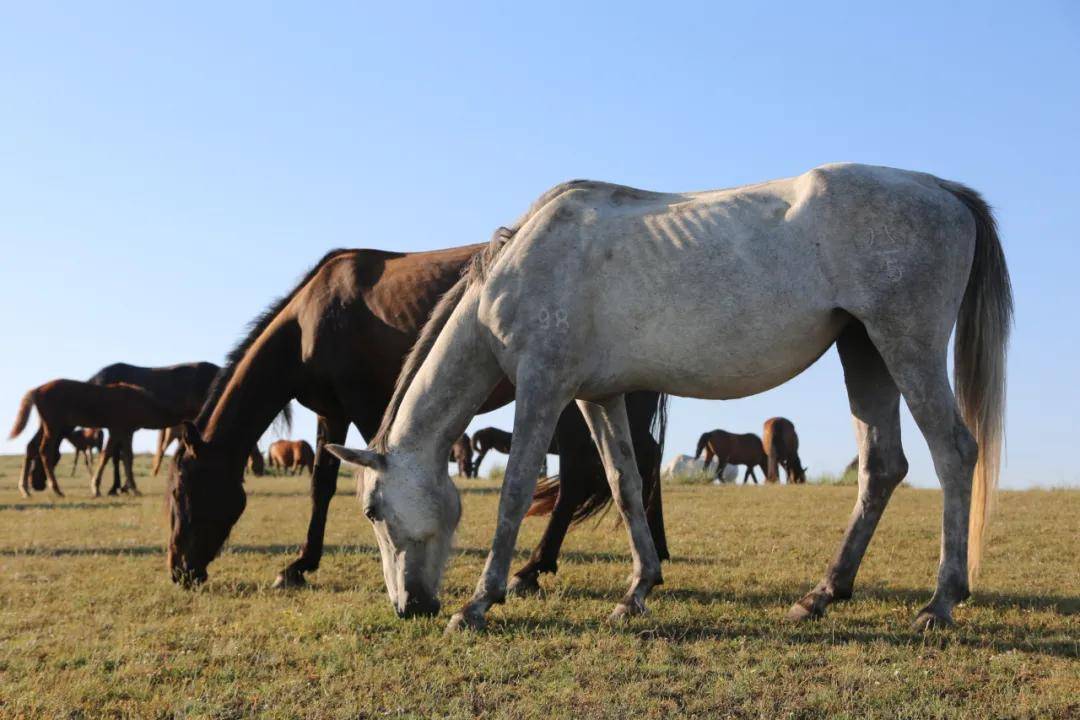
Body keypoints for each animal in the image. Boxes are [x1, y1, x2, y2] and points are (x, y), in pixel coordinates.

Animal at [9, 382, 185, 496]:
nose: (37, 485)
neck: (139, 402)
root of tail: (36, 390)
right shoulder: (117, 430)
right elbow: (106, 455)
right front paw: (96, 488)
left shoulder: (127, 432)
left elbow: (128, 458)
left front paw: (134, 489)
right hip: (53, 427)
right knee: (45, 451)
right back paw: (56, 489)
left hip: (45, 426)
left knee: (31, 447)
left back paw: (25, 489)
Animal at [163, 245, 665, 595]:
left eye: (181, 493)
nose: (179, 570)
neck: (310, 320)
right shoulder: (332, 412)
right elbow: (321, 486)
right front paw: (300, 565)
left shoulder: (367, 408)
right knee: (641, 462)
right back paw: (655, 552)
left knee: (585, 477)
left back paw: (535, 569)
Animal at [328, 160, 1010, 634]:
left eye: (372, 512)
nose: (407, 607)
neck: (522, 263)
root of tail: (942, 190)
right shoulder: (597, 398)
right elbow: (624, 482)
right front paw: (637, 591)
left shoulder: (543, 387)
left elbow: (516, 490)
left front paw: (479, 602)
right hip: (864, 352)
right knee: (881, 467)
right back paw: (823, 594)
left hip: (905, 347)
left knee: (953, 453)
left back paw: (941, 602)